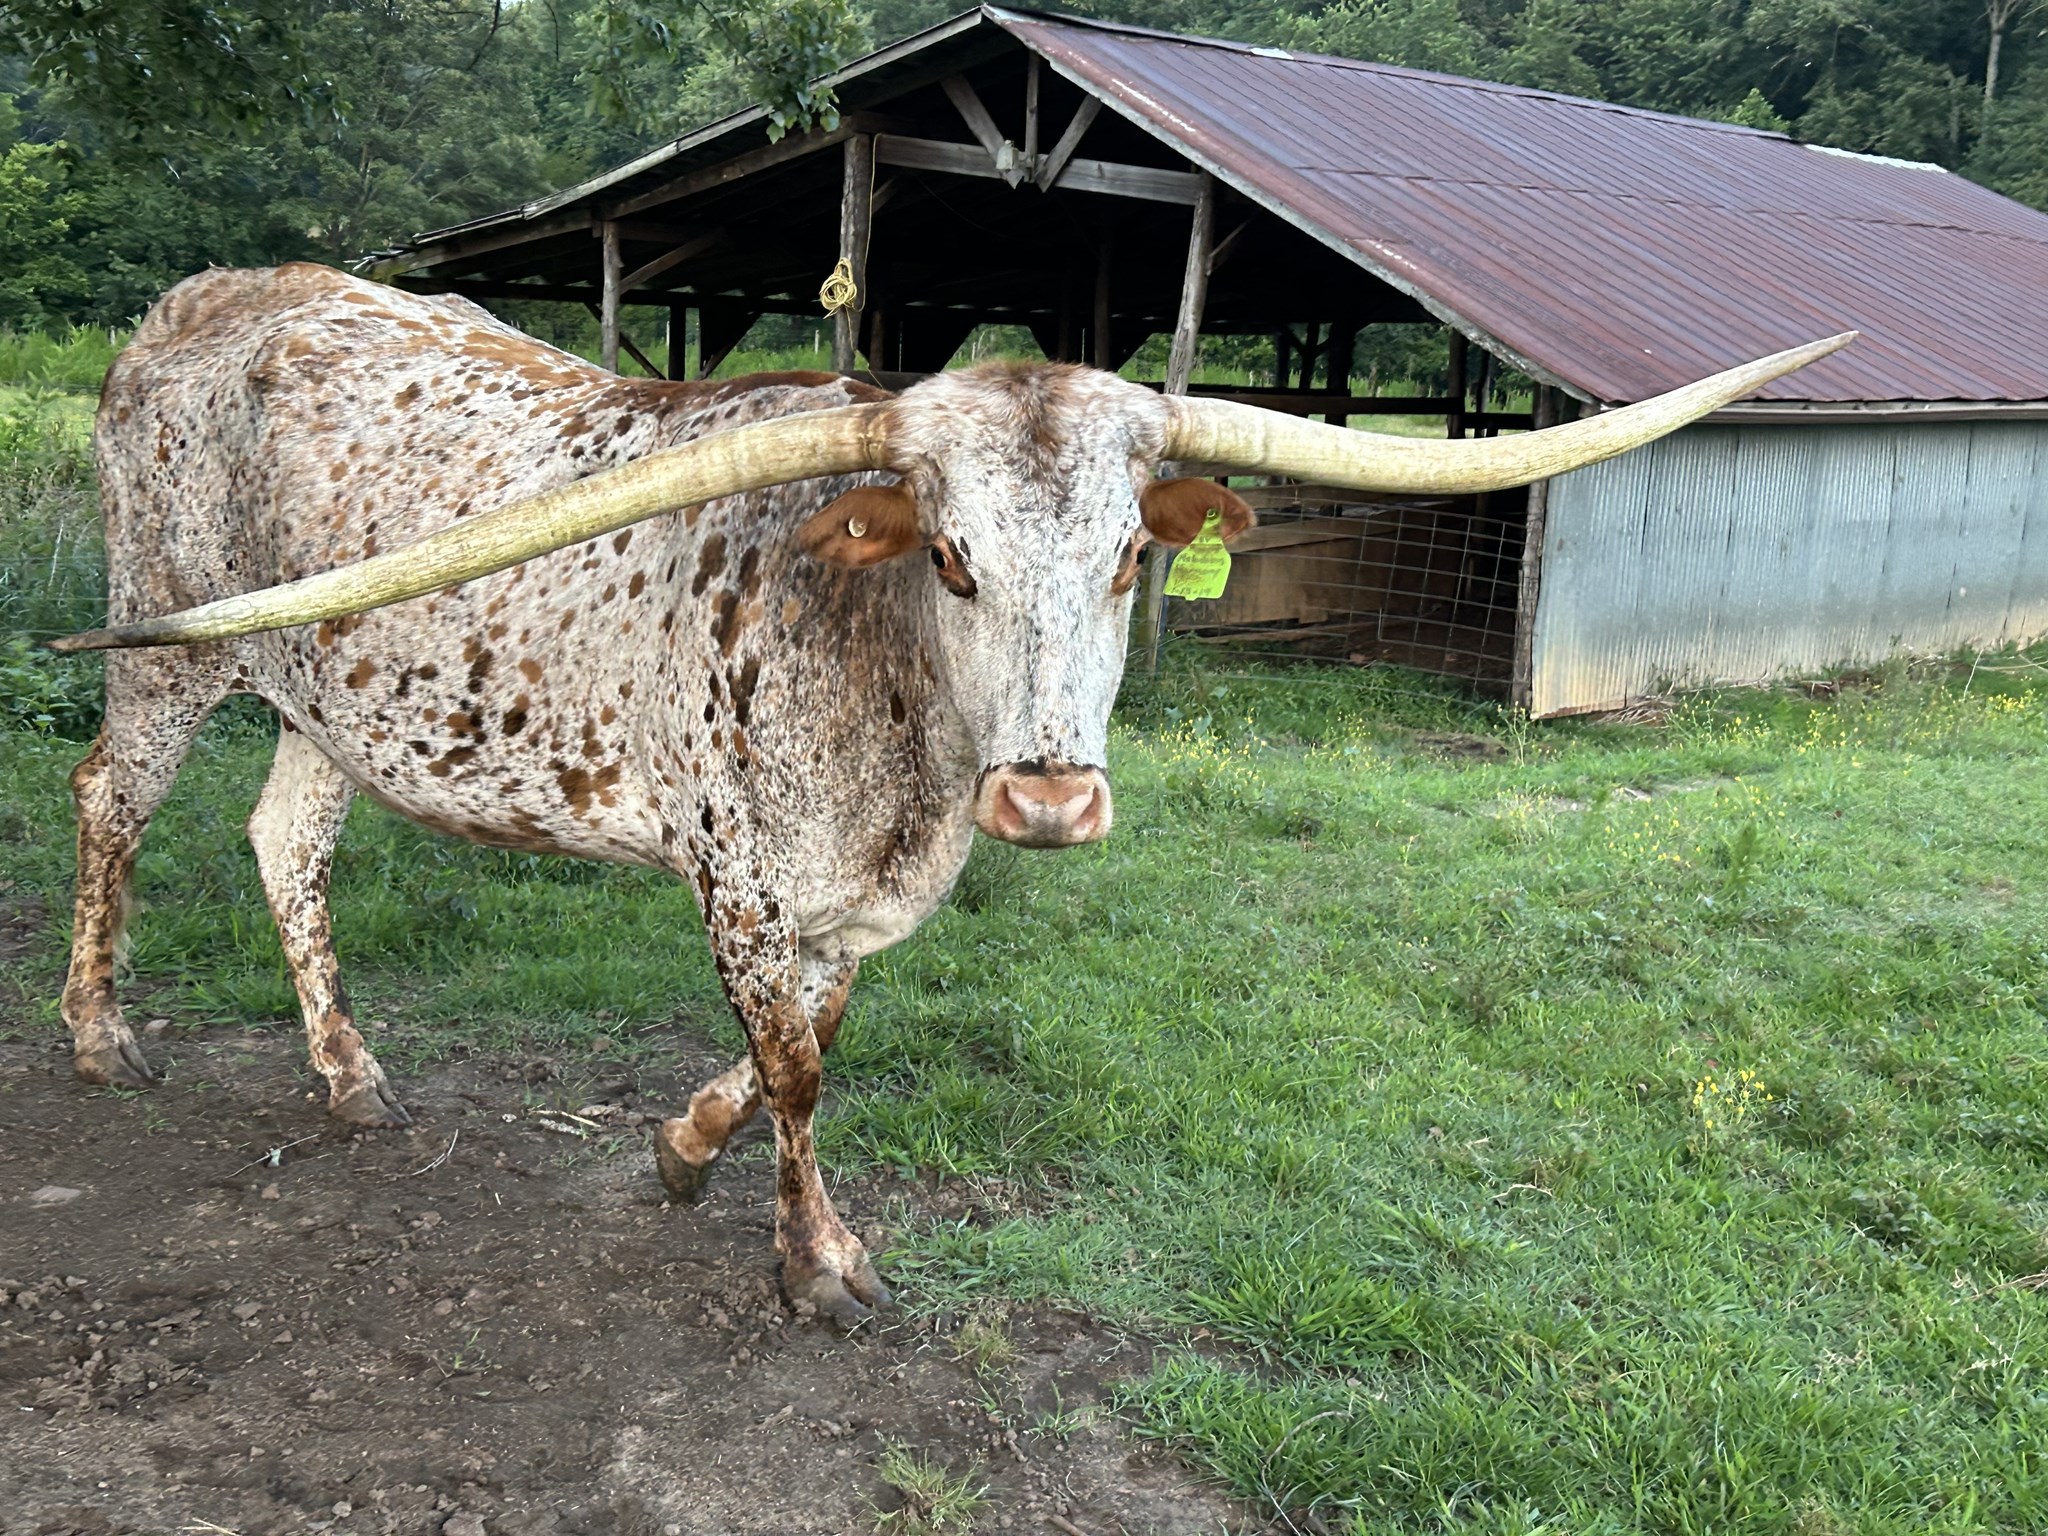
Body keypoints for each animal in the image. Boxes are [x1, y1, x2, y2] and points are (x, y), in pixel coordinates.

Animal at [52, 263, 1847, 1324]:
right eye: (954, 557)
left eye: (1127, 557)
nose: (1048, 804)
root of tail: (209, 295)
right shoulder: (736, 873)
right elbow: (794, 1070)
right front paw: (813, 1261)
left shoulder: (856, 901)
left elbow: (807, 1046)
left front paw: (680, 1151)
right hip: (174, 647)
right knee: (108, 801)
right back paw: (97, 1034)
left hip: (337, 703)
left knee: (282, 840)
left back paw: (350, 1074)